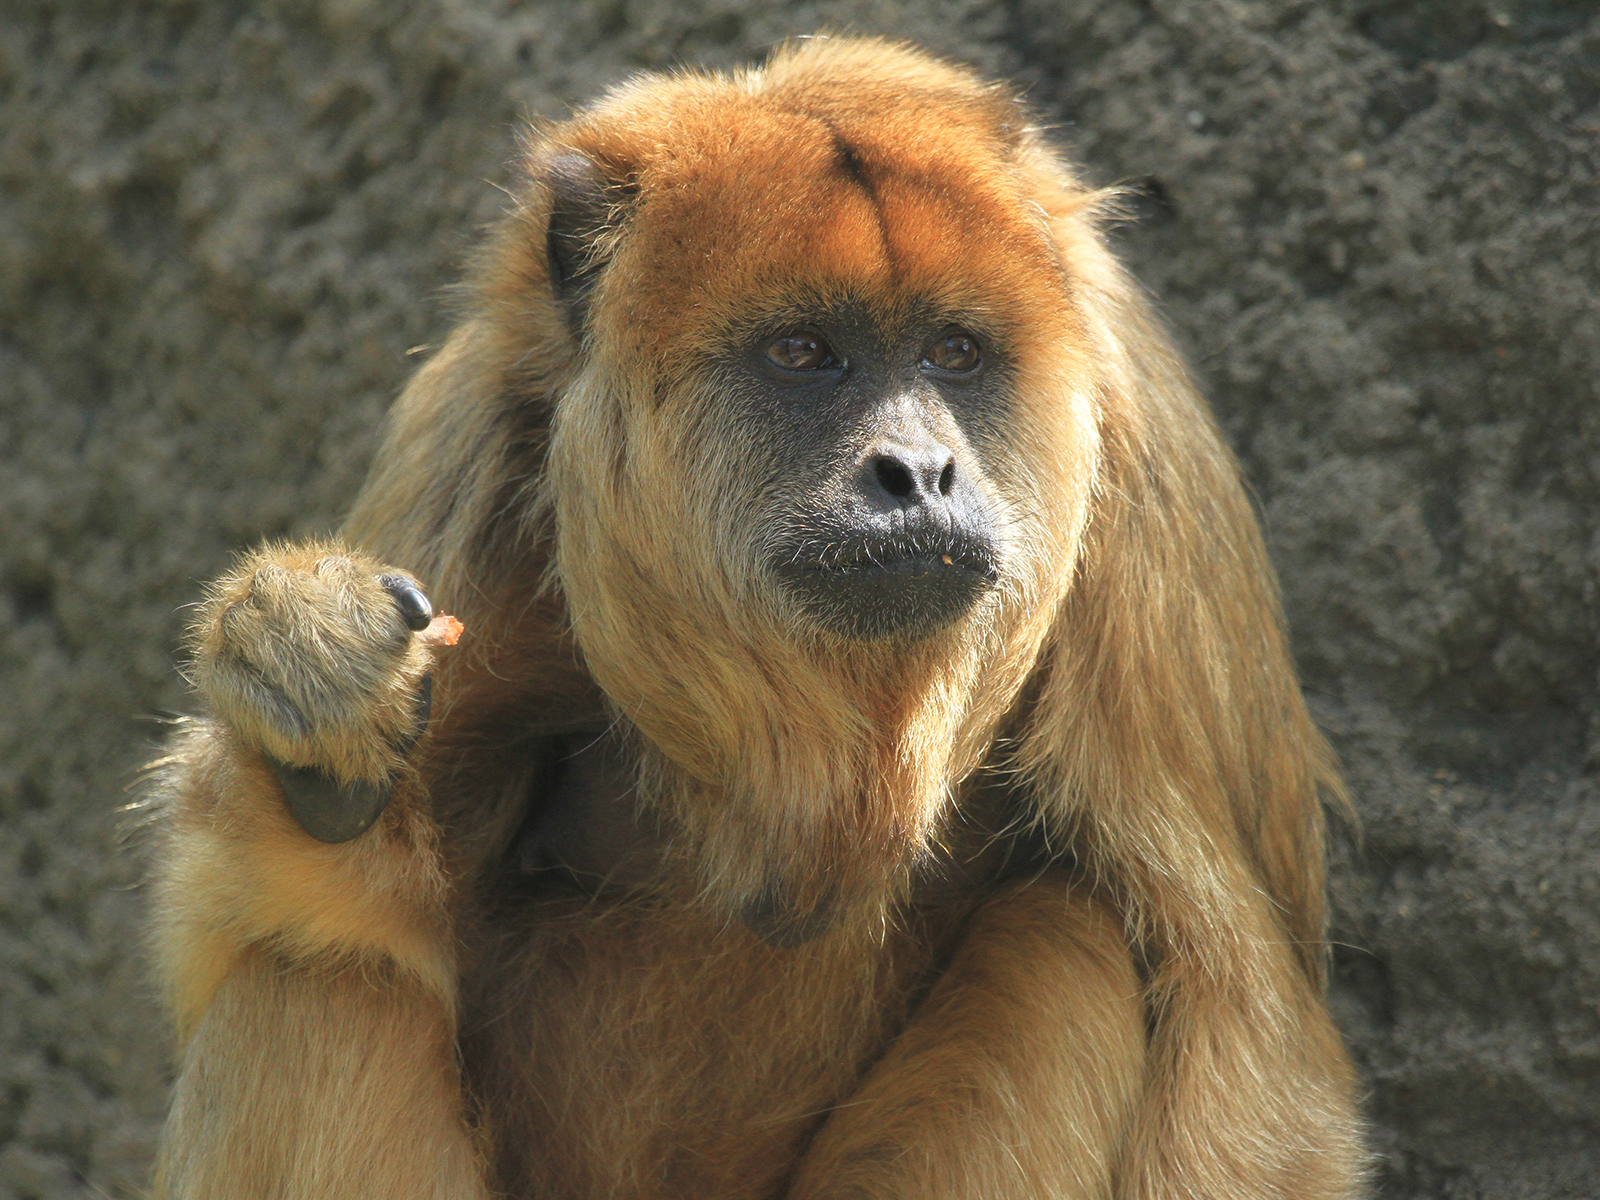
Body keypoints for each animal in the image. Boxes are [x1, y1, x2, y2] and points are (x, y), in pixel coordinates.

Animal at [146, 37, 1366, 1200]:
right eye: (803, 355)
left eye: (954, 352)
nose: (919, 472)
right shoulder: (466, 450)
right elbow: (274, 945)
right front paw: (303, 670)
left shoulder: (1141, 448)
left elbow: (1249, 1053)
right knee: (301, 990)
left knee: (1070, 945)